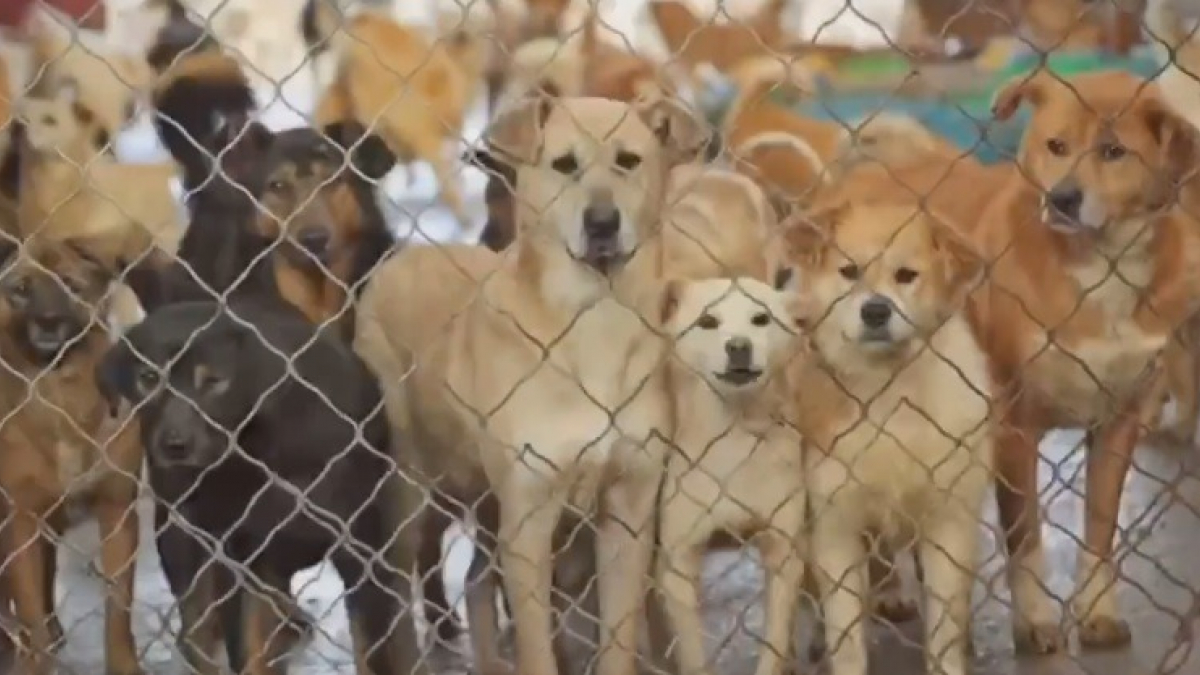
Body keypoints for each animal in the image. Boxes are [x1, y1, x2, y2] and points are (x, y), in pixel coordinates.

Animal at [0, 233, 145, 672]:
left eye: (71, 285)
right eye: (20, 290)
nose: (48, 321)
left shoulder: (118, 513)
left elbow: (118, 611)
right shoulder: (22, 523)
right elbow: (30, 614)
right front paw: (33, 661)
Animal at [350, 90, 705, 675]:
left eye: (628, 161)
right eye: (564, 164)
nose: (602, 223)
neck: (593, 323)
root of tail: (405, 257)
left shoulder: (627, 513)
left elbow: (618, 640)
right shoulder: (529, 523)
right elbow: (538, 648)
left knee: (474, 581)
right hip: (408, 492)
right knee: (397, 592)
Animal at [657, 275, 806, 675]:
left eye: (761, 318)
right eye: (708, 322)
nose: (739, 346)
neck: (735, 439)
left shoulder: (783, 554)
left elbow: (775, 645)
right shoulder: (679, 564)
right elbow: (693, 655)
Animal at [782, 195, 988, 675]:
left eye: (906, 275)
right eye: (849, 270)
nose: (875, 311)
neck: (890, 396)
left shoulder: (948, 521)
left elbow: (944, 628)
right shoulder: (834, 527)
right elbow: (845, 634)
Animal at [969, 70, 1200, 648]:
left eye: (1113, 151)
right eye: (1056, 146)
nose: (1062, 199)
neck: (1101, 266)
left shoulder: (1120, 421)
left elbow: (1099, 527)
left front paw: (1097, 608)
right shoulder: (1014, 425)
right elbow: (1026, 536)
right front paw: (1033, 619)